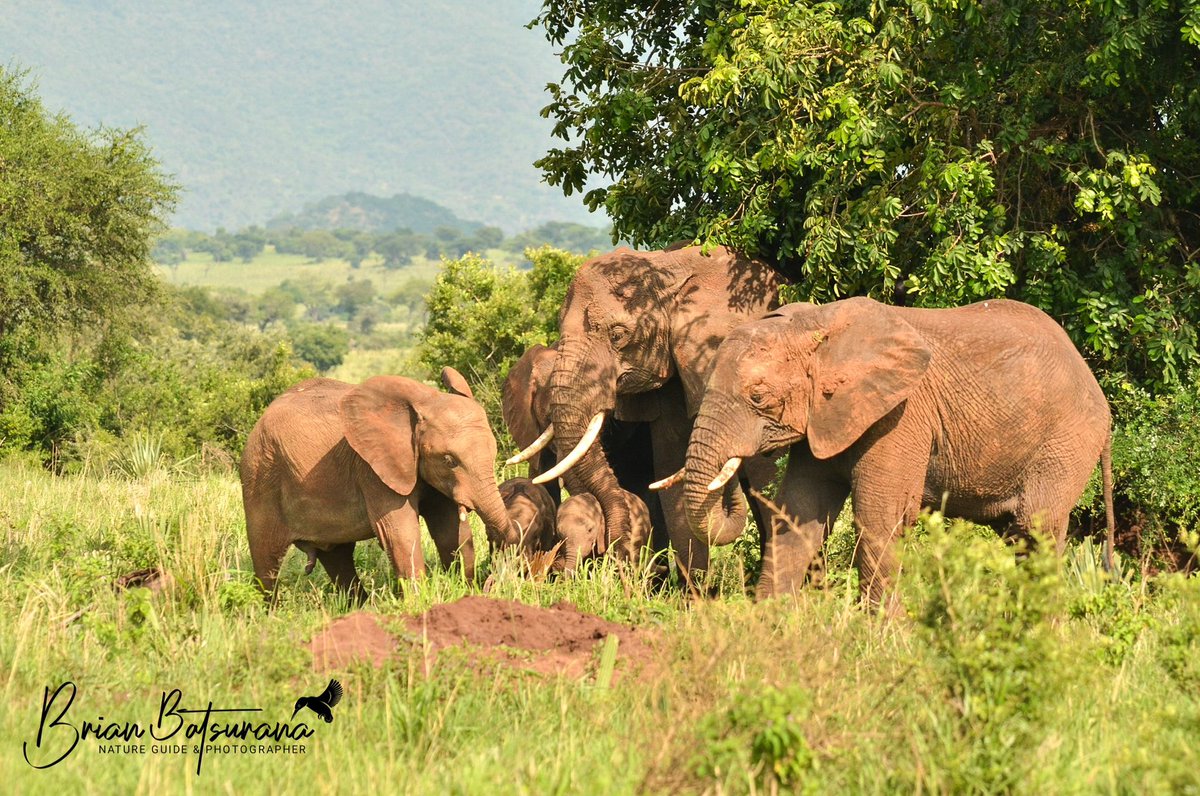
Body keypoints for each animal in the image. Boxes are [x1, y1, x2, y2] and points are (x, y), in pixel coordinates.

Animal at [240, 367, 514, 598]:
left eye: (494, 451)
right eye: (449, 460)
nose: (492, 580)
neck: (426, 400)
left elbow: (450, 531)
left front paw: (464, 594)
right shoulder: (372, 470)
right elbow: (400, 534)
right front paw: (419, 603)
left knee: (337, 557)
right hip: (259, 477)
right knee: (267, 563)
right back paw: (270, 612)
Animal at [516, 244, 786, 585]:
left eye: (618, 335)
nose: (612, 552)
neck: (665, 271)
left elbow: (768, 475)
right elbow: (671, 470)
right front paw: (695, 593)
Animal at [681, 297, 1116, 603]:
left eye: (758, 397)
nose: (734, 472)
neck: (816, 326)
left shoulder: (900, 416)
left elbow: (880, 518)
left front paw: (882, 637)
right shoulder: (824, 418)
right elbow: (797, 514)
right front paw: (770, 624)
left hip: (1067, 440)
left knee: (1036, 530)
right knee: (1018, 536)